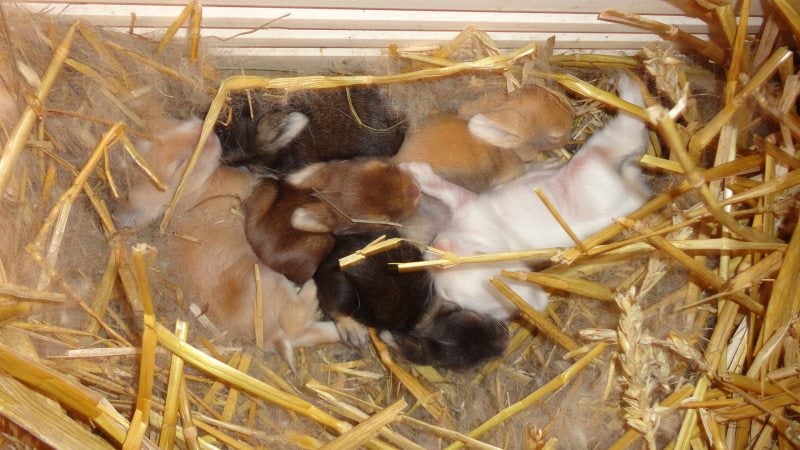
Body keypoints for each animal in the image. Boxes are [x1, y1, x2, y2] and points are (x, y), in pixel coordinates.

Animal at [115, 117, 340, 365]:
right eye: (180, 163)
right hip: (269, 282)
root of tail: (270, 337)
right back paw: (313, 291)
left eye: (171, 127)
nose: (205, 129)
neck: (190, 193)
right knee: (296, 323)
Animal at [243, 158, 421, 285]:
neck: (323, 196)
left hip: (268, 188)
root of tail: (259, 252)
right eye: (385, 220)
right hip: (322, 242)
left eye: (385, 165)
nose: (417, 190)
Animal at [313, 230, 509, 370]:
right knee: (332, 306)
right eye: (469, 362)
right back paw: (353, 331)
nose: (507, 338)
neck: (427, 316)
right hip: (345, 293)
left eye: (477, 318)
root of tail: (332, 255)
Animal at [401, 73, 651, 320]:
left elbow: (443, 187)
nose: (436, 248)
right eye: (447, 294)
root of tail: (634, 191)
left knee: (629, 126)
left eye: (480, 254)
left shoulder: (469, 202)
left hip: (595, 155)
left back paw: (626, 84)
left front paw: (414, 171)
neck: (477, 234)